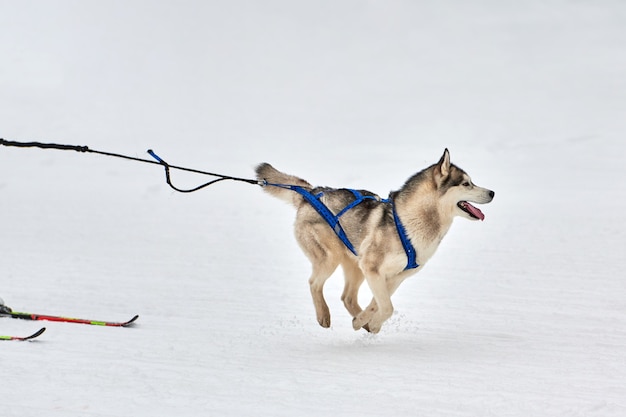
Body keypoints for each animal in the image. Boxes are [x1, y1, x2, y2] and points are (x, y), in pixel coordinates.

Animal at [254, 148, 492, 334]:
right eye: (466, 184)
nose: (492, 192)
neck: (410, 223)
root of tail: (311, 192)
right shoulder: (373, 267)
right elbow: (387, 307)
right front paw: (369, 323)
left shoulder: (395, 275)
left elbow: (378, 303)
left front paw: (366, 322)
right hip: (331, 257)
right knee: (314, 283)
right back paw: (324, 315)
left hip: (355, 264)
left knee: (347, 297)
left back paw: (359, 319)